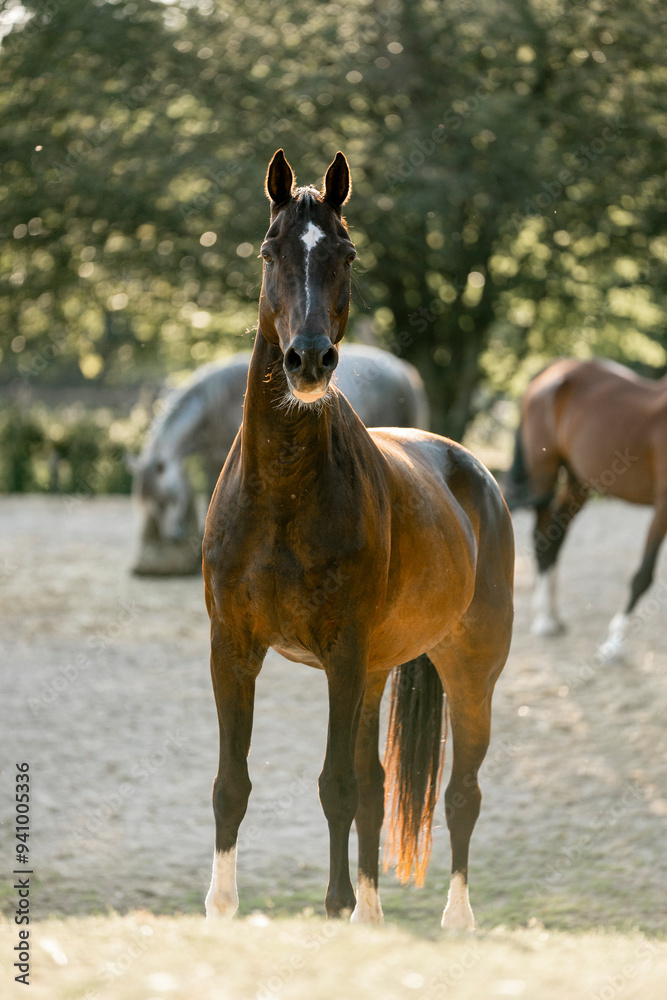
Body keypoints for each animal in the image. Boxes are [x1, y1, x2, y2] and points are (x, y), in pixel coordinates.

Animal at [130, 345, 429, 575]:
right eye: (150, 504)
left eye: (169, 498)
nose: (173, 536)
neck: (217, 404)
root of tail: (404, 372)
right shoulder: (214, 460)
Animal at [202, 150, 514, 929]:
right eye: (269, 251)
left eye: (345, 254)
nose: (308, 362)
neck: (282, 495)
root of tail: (472, 473)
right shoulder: (233, 649)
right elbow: (233, 783)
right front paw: (221, 909)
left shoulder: (341, 655)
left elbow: (335, 785)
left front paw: (335, 906)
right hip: (375, 673)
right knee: (378, 788)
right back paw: (373, 916)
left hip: (469, 672)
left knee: (460, 794)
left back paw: (455, 921)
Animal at [505, 357, 667, 660]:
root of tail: (552, 371)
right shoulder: (663, 506)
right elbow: (644, 575)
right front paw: (614, 643)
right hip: (545, 471)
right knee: (543, 536)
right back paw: (543, 620)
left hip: (578, 482)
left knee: (556, 536)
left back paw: (553, 616)